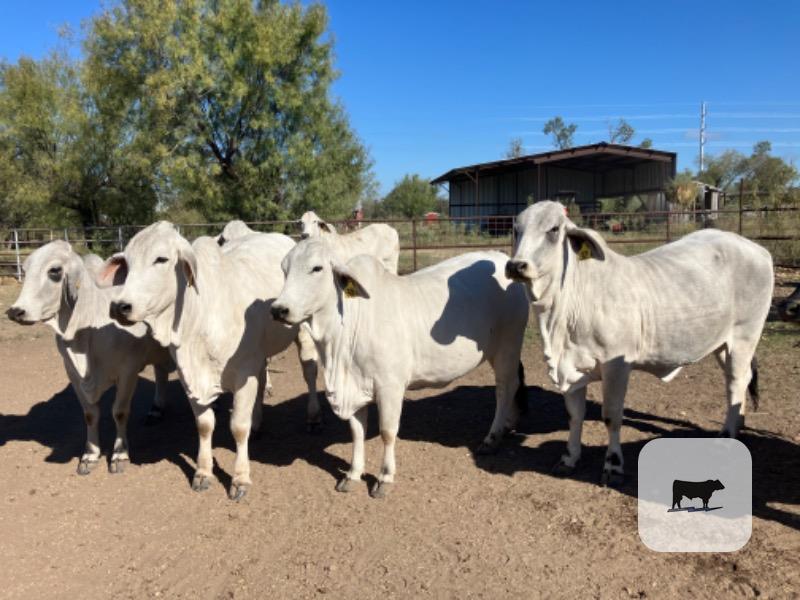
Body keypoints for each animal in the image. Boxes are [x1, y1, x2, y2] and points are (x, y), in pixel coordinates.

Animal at [6, 240, 174, 475]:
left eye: (54, 270)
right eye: (25, 269)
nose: (15, 312)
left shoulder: (128, 371)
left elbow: (119, 412)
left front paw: (119, 454)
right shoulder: (73, 373)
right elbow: (90, 414)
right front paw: (90, 455)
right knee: (161, 372)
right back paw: (156, 410)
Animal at [97, 222, 319, 500]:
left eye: (161, 259)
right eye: (127, 262)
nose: (120, 306)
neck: (200, 318)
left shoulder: (243, 374)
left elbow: (238, 426)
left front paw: (240, 478)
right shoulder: (190, 377)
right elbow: (204, 425)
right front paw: (203, 472)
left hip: (303, 331)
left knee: (309, 370)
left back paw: (313, 417)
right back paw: (258, 423)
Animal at [270, 240, 529, 498]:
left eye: (317, 268)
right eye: (284, 269)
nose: (278, 310)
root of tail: (498, 257)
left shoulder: (390, 387)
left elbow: (387, 432)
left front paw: (385, 477)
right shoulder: (354, 385)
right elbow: (357, 432)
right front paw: (353, 474)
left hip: (508, 344)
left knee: (505, 388)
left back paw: (492, 437)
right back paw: (509, 423)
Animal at [506, 201, 773, 485]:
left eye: (554, 229)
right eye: (516, 229)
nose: (516, 266)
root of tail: (757, 249)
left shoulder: (617, 366)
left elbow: (611, 417)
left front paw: (613, 466)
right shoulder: (570, 368)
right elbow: (574, 416)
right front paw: (569, 458)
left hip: (745, 336)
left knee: (736, 382)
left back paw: (727, 436)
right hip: (722, 345)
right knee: (740, 380)